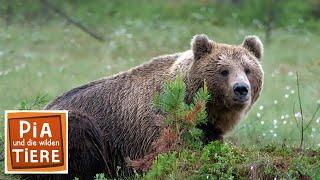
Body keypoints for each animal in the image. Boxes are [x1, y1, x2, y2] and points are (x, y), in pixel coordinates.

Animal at [27, 33, 264, 179]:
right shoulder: (154, 129)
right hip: (76, 126)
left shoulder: (208, 129)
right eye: (224, 70)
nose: (241, 89)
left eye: (248, 69)